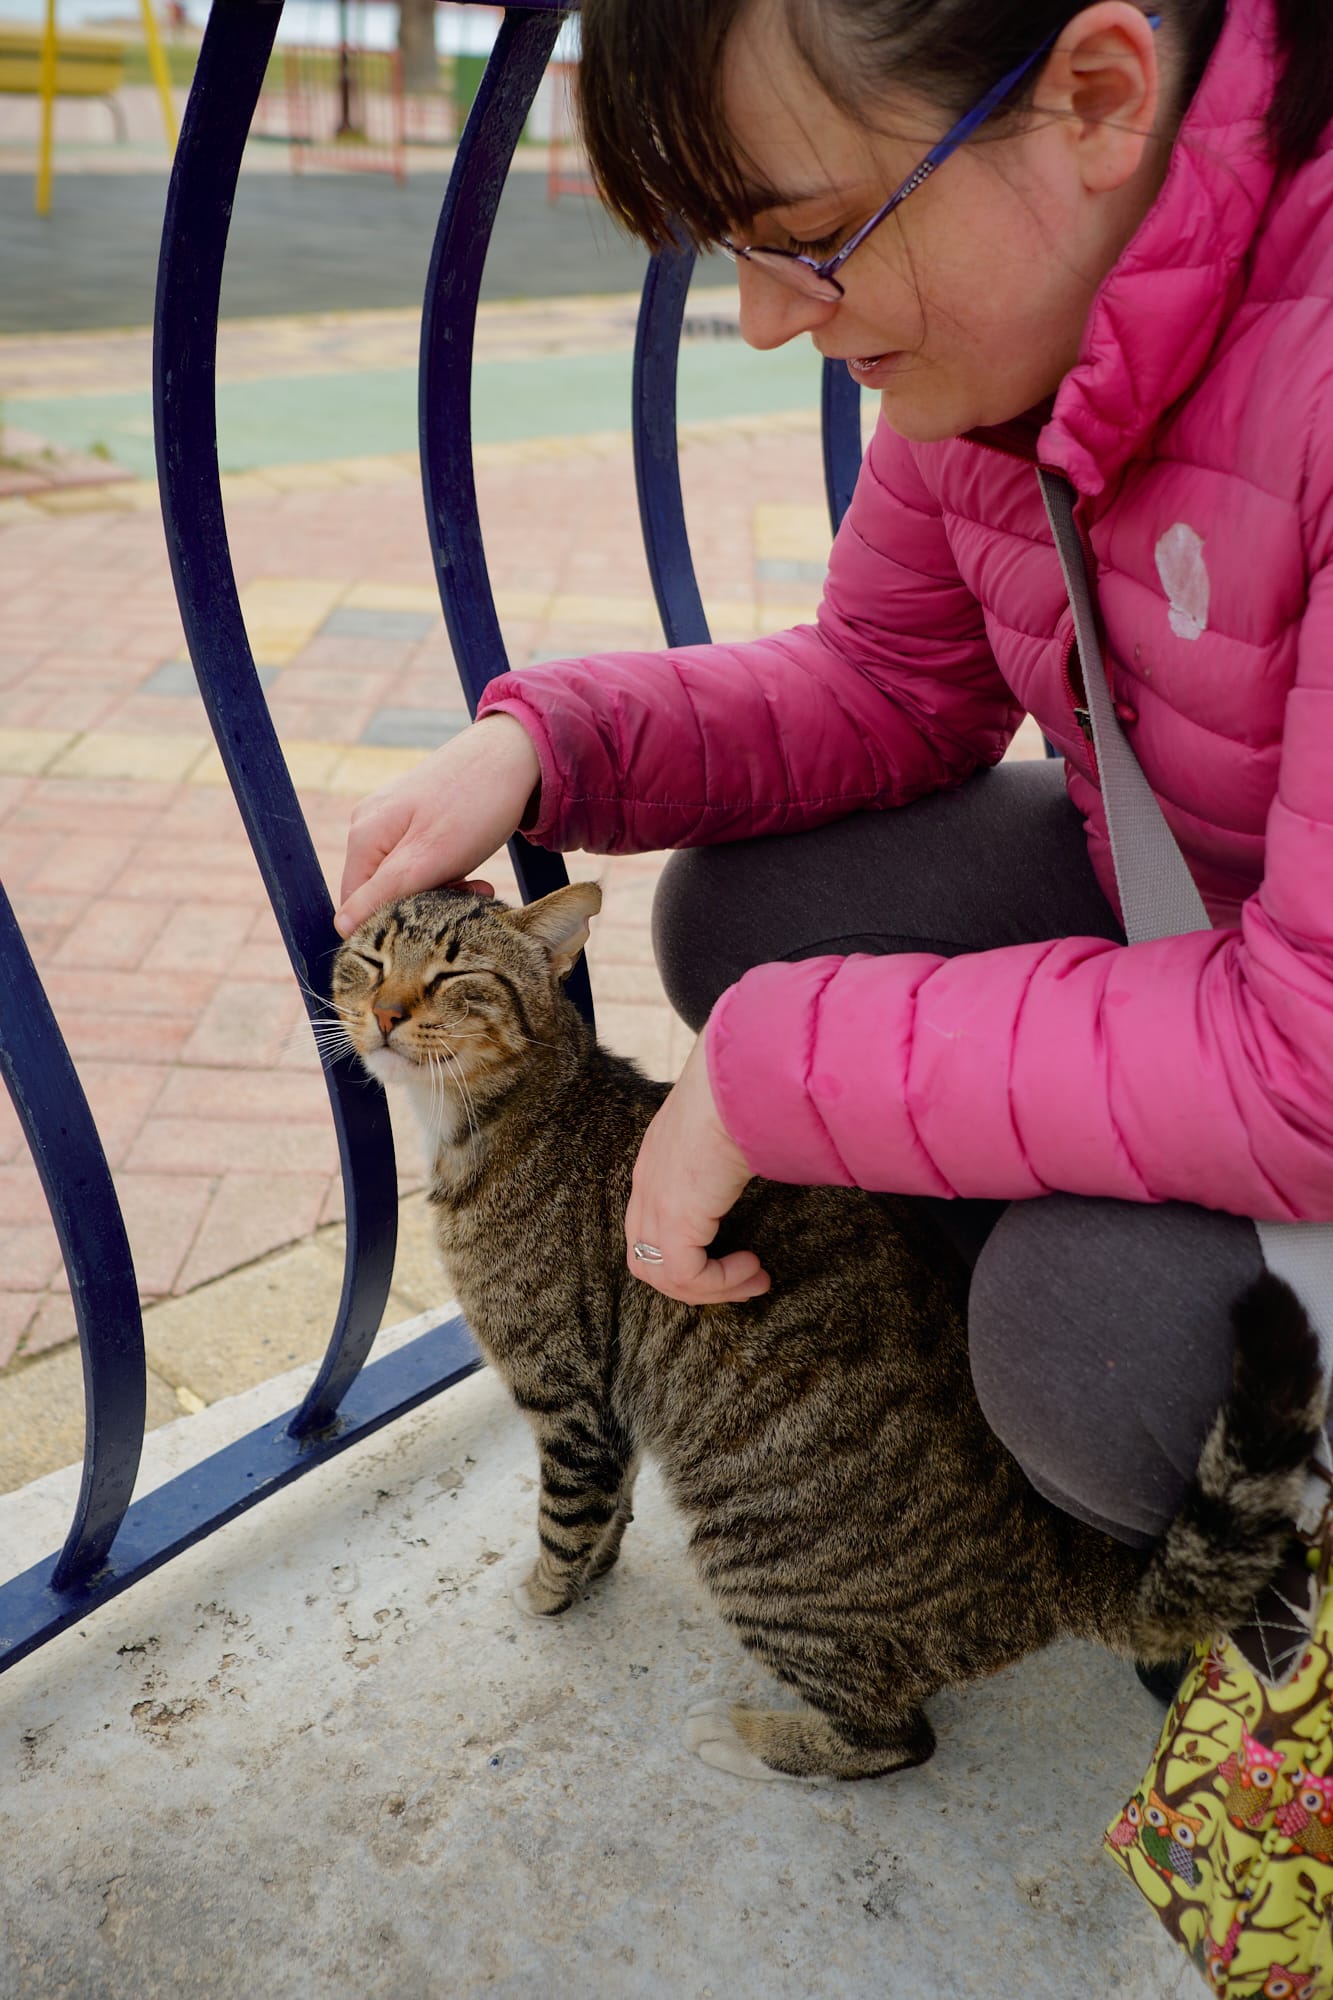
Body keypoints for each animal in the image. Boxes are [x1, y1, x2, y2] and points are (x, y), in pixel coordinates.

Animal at [332, 888, 1320, 1784]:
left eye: (453, 972)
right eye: (371, 959)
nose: (385, 1013)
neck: (502, 1114)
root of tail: (1047, 1558)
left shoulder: (565, 1393)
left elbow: (564, 1518)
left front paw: (547, 1595)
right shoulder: (608, 1403)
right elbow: (609, 1502)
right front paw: (596, 1569)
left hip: (754, 1560)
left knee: (894, 1741)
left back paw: (750, 1739)